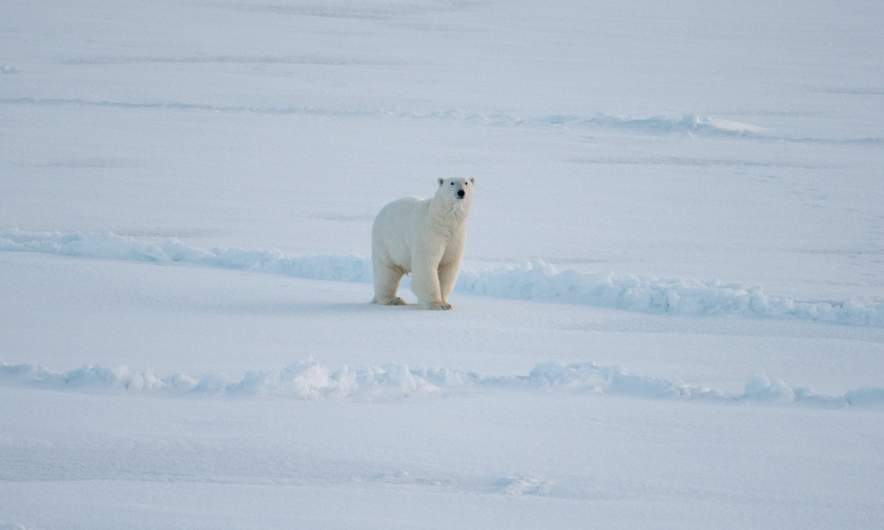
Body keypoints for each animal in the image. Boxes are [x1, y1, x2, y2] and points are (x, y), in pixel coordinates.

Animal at [371, 177, 475, 310]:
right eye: (452, 183)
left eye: (466, 183)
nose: (461, 192)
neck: (443, 220)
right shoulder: (430, 233)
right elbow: (426, 263)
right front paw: (437, 304)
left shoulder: (456, 236)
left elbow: (448, 265)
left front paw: (446, 302)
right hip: (386, 243)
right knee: (387, 271)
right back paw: (392, 299)